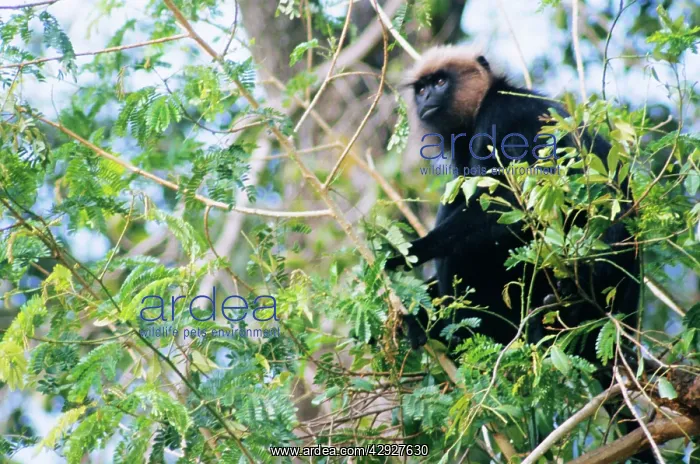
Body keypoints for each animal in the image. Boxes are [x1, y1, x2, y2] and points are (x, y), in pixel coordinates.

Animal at [385, 45, 640, 365]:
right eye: (421, 89)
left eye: (440, 82)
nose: (427, 97)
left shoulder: (506, 116)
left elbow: (522, 204)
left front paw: (410, 251)